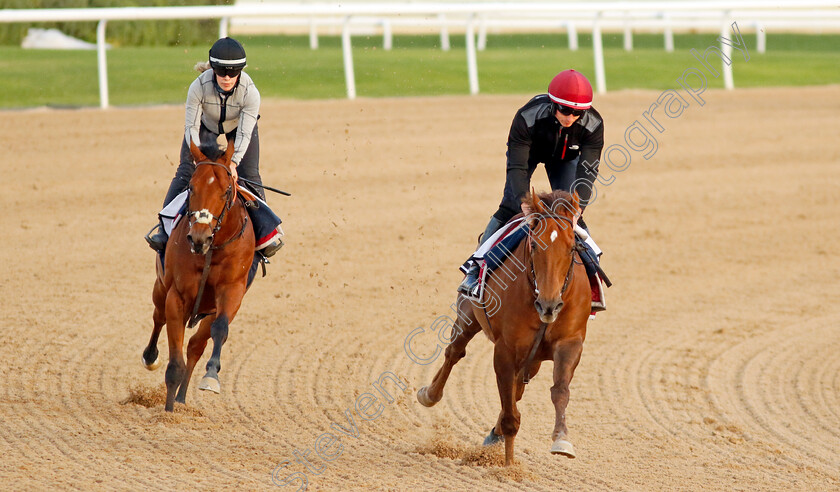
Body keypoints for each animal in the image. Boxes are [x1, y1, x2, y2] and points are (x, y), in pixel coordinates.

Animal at [143, 138, 254, 412]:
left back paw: (183, 397)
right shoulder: (177, 296)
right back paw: (150, 358)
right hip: (160, 288)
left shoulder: (232, 291)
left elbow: (220, 329)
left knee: (196, 345)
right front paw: (168, 413)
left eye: (226, 190)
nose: (199, 237)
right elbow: (174, 364)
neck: (212, 249)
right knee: (158, 317)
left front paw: (211, 376)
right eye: (191, 188)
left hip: (206, 308)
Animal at [418, 189, 592, 466]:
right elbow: (510, 411)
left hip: (533, 358)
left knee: (517, 389)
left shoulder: (570, 342)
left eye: (572, 247)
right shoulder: (505, 349)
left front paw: (562, 439)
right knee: (454, 352)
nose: (549, 305)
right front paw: (509, 466)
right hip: (468, 316)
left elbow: (560, 389)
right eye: (534, 245)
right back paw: (430, 394)